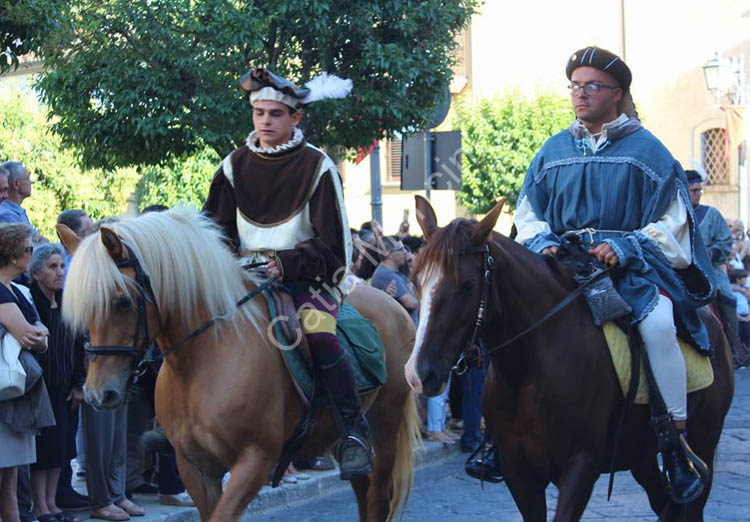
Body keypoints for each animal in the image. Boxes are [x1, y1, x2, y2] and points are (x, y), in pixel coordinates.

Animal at [57, 207, 424, 520]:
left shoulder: (255, 460)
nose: (98, 394)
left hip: (384, 424)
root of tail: (394, 307)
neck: (203, 359)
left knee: (376, 498)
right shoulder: (195, 467)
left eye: (122, 302)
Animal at [408, 196, 736, 520]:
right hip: (640, 454)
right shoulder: (518, 472)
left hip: (704, 437)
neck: (529, 369)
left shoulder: (580, 466)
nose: (418, 374)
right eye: (416, 282)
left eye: (466, 286)